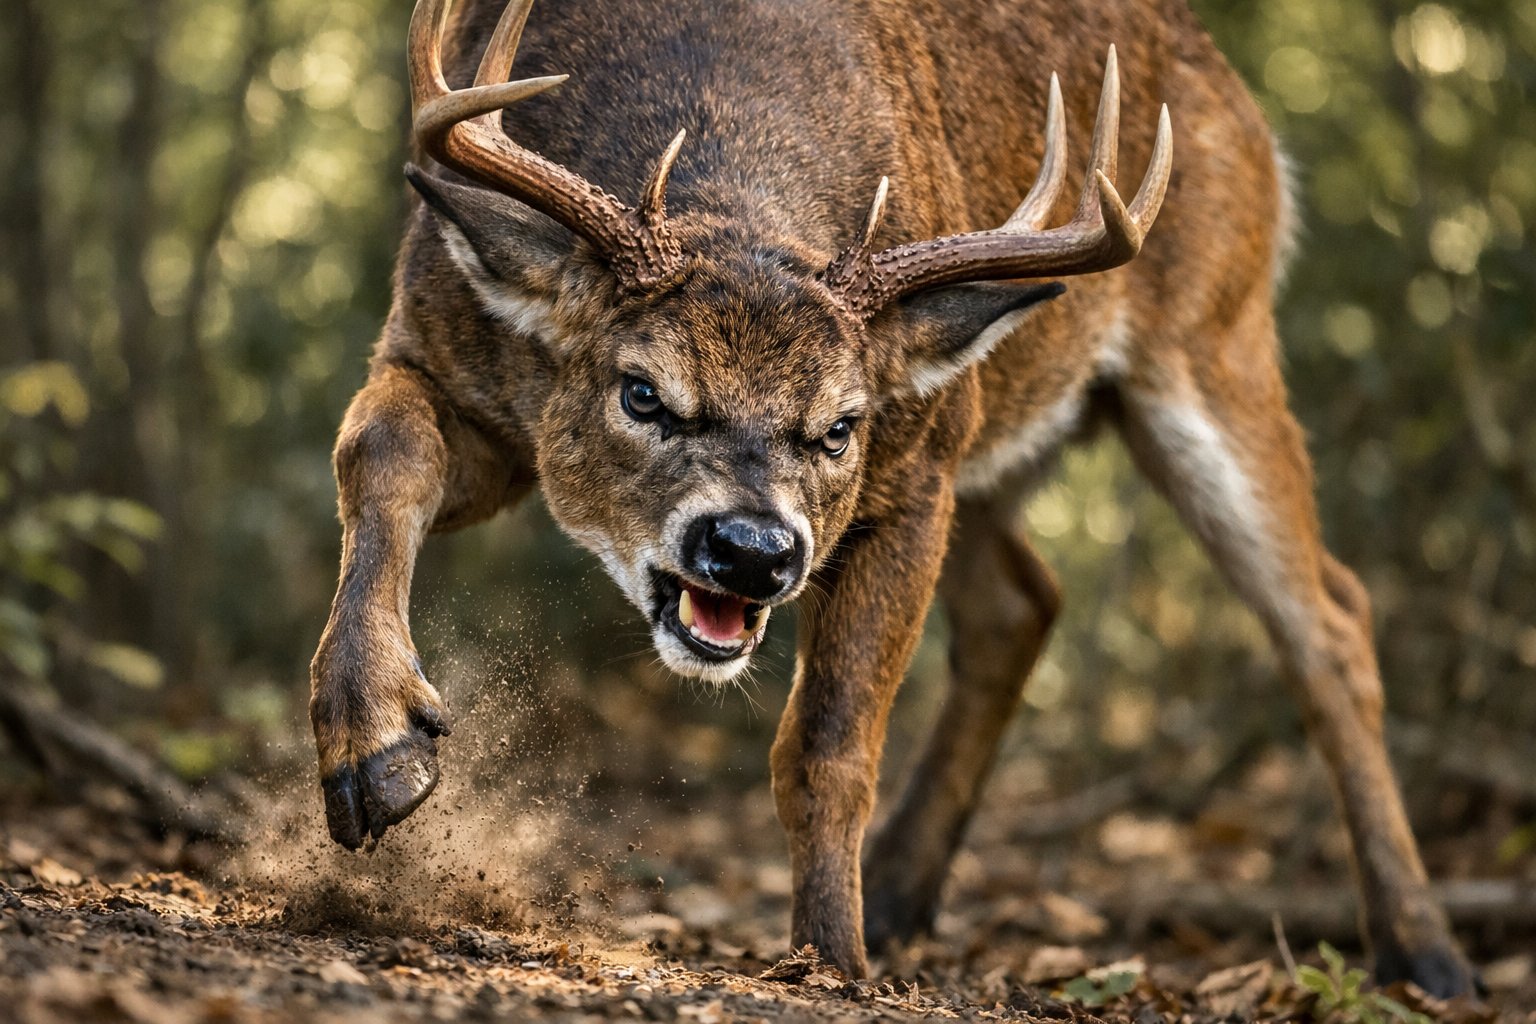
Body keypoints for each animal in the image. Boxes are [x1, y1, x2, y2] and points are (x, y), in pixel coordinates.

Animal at [307, 0, 1478, 996]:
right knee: (1026, 601)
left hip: (1212, 344)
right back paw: (910, 893)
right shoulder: (441, 348)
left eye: (841, 424)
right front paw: (377, 751)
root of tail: (1246, 112)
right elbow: (383, 448)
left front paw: (829, 956)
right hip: (1009, 437)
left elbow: (828, 745)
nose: (752, 550)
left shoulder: (912, 476)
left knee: (1327, 618)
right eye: (641, 391)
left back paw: (1428, 954)